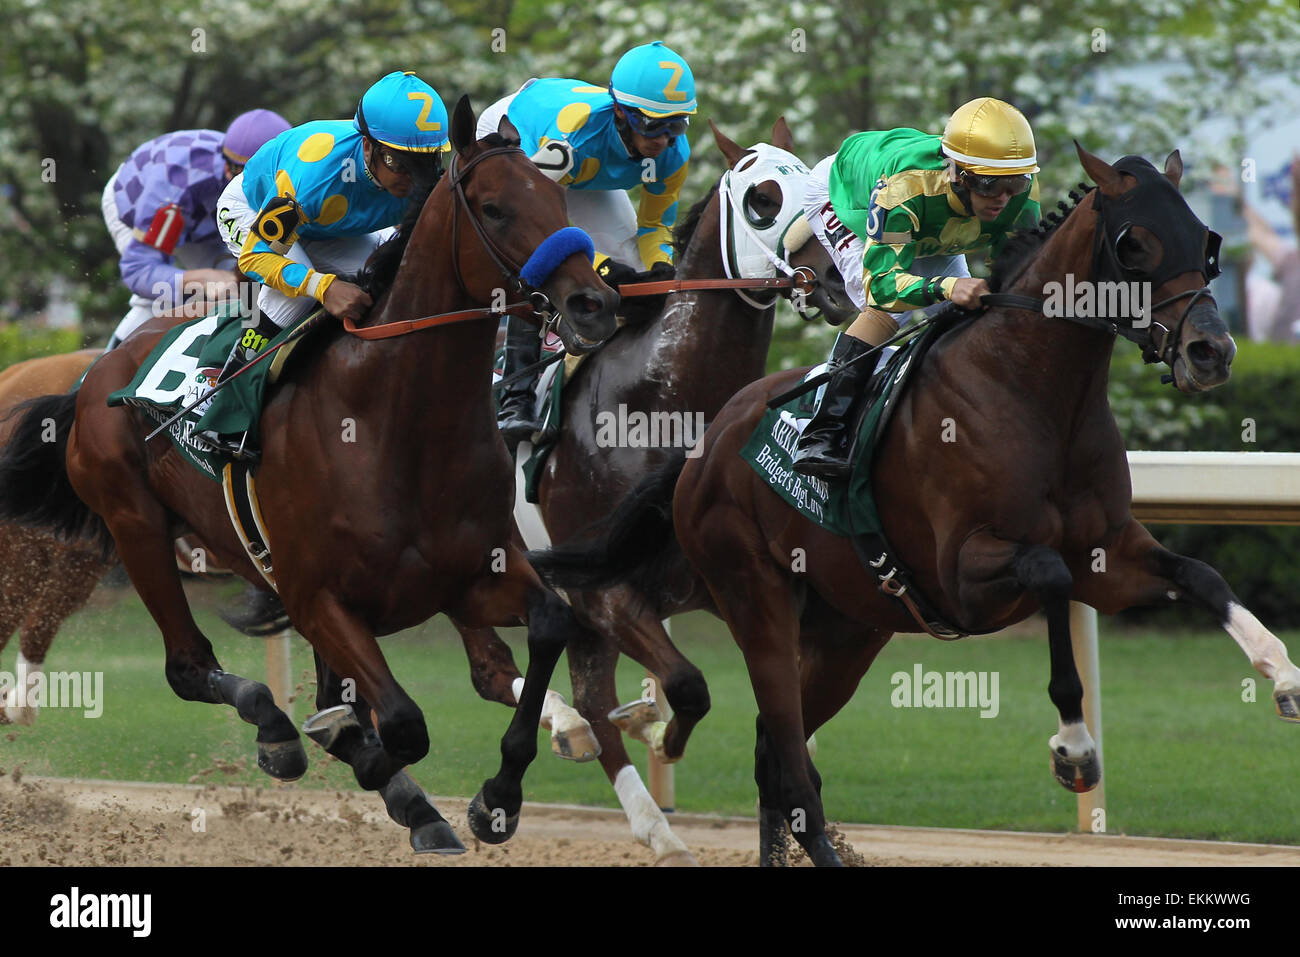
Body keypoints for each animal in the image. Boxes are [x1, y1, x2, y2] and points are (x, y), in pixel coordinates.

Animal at [0, 93, 616, 847]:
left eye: (559, 198)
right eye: (495, 208)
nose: (594, 303)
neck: (395, 427)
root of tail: (97, 371)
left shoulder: (471, 574)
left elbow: (549, 625)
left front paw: (496, 797)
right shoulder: (316, 598)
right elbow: (400, 723)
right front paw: (369, 764)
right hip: (135, 526)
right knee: (187, 665)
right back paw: (278, 731)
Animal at [447, 115, 852, 863]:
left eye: (814, 184)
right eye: (763, 198)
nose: (839, 276)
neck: (659, 400)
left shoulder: (727, 584)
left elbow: (781, 730)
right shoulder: (604, 589)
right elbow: (690, 686)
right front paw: (662, 733)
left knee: (581, 692)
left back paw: (649, 822)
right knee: (501, 671)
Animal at [527, 143, 1300, 868]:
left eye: (1205, 238)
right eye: (1134, 242)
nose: (1211, 351)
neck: (1031, 393)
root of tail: (705, 439)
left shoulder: (1108, 555)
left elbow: (1201, 575)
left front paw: (1282, 672)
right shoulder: (965, 573)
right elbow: (1049, 573)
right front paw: (1074, 746)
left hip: (845, 630)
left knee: (775, 756)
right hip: (756, 604)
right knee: (784, 756)